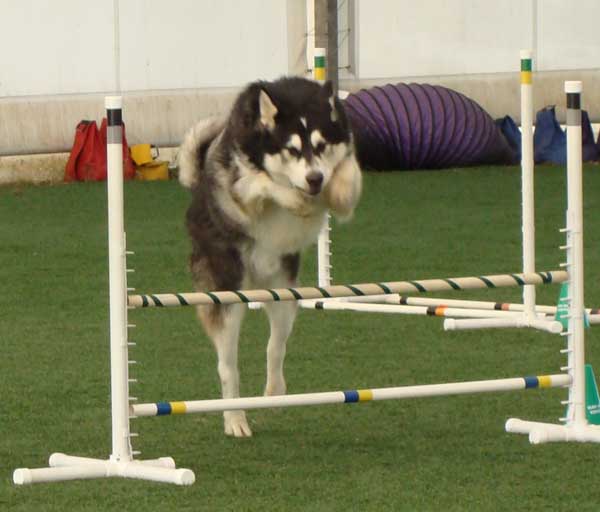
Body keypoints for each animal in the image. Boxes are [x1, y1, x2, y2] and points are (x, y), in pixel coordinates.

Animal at [176, 77, 358, 436]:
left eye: (321, 146)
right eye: (291, 150)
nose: (315, 179)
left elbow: (348, 172)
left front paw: (340, 191)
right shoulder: (239, 184)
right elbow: (261, 183)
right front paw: (294, 198)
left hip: (284, 292)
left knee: (276, 345)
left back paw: (275, 391)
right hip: (228, 295)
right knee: (227, 367)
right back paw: (235, 418)